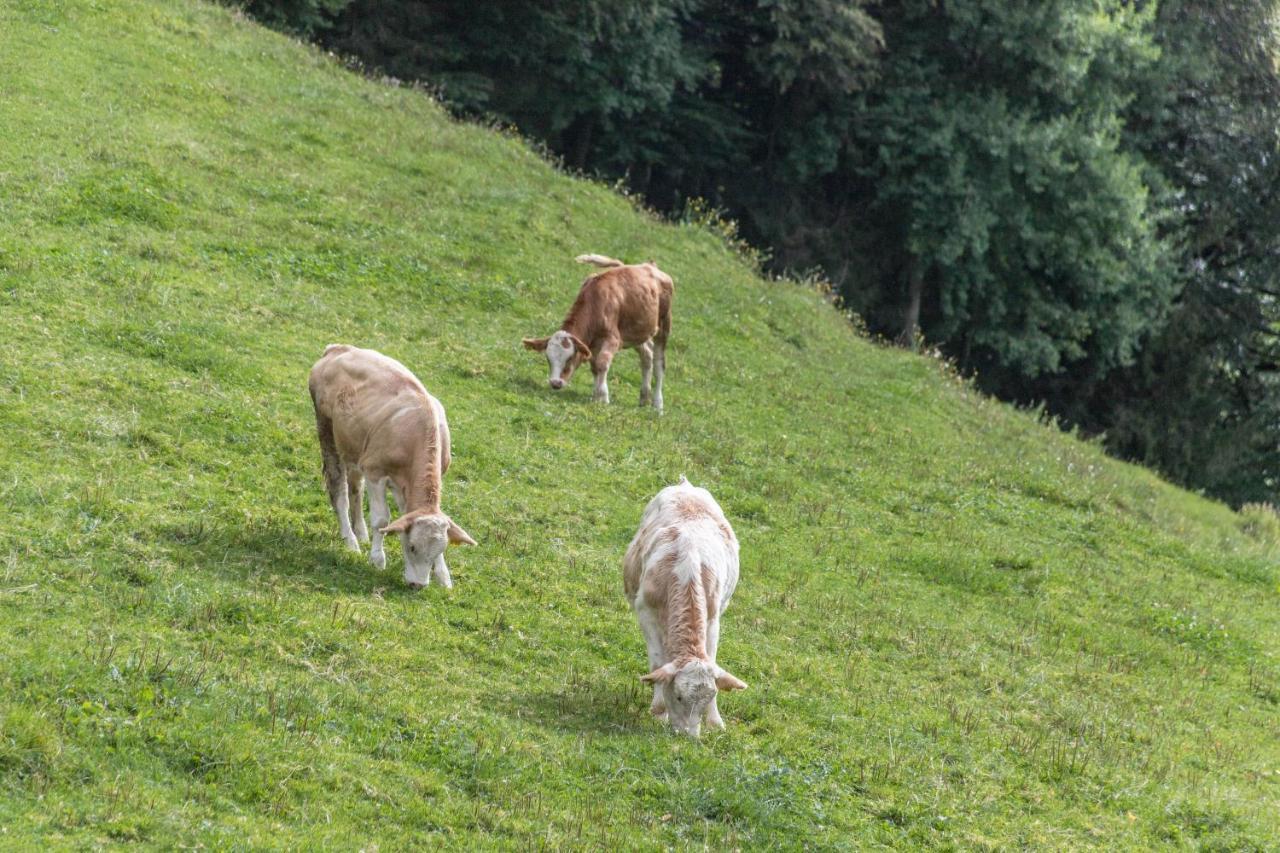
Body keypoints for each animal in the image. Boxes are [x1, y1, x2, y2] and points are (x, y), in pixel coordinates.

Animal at [307, 343, 478, 589]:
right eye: (413, 547)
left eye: (439, 551)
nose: (418, 585)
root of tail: (338, 349)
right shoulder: (375, 472)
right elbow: (382, 520)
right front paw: (377, 559)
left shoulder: (404, 486)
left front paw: (443, 576)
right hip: (327, 431)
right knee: (339, 488)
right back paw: (350, 541)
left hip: (355, 447)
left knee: (355, 488)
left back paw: (361, 534)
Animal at [522, 252, 675, 412]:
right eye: (548, 358)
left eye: (570, 358)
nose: (555, 383)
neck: (595, 302)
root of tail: (650, 265)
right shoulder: (592, 344)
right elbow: (595, 367)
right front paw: (596, 396)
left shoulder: (613, 339)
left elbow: (602, 364)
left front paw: (603, 397)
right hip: (638, 333)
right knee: (647, 356)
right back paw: (644, 398)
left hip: (664, 325)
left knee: (659, 363)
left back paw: (657, 405)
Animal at [622, 473, 747, 732]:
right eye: (679, 696)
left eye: (709, 697)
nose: (689, 735)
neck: (685, 573)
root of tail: (686, 485)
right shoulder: (645, 612)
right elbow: (657, 663)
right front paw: (658, 710)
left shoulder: (713, 618)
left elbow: (712, 659)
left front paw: (715, 721)